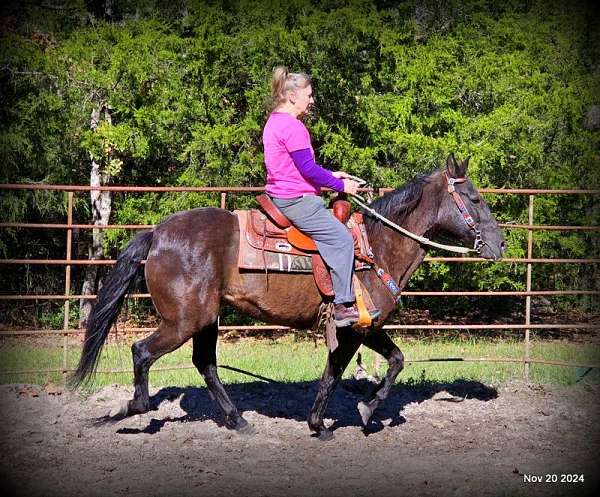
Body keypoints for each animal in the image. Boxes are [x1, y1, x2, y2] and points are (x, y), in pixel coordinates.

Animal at [71, 154, 506, 438]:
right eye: (474, 198)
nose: (500, 244)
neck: (376, 246)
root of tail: (157, 235)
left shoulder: (368, 327)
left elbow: (391, 361)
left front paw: (353, 413)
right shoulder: (352, 328)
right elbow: (337, 374)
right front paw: (341, 418)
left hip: (206, 318)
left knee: (205, 364)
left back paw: (238, 421)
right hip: (183, 320)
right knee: (143, 351)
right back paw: (132, 408)